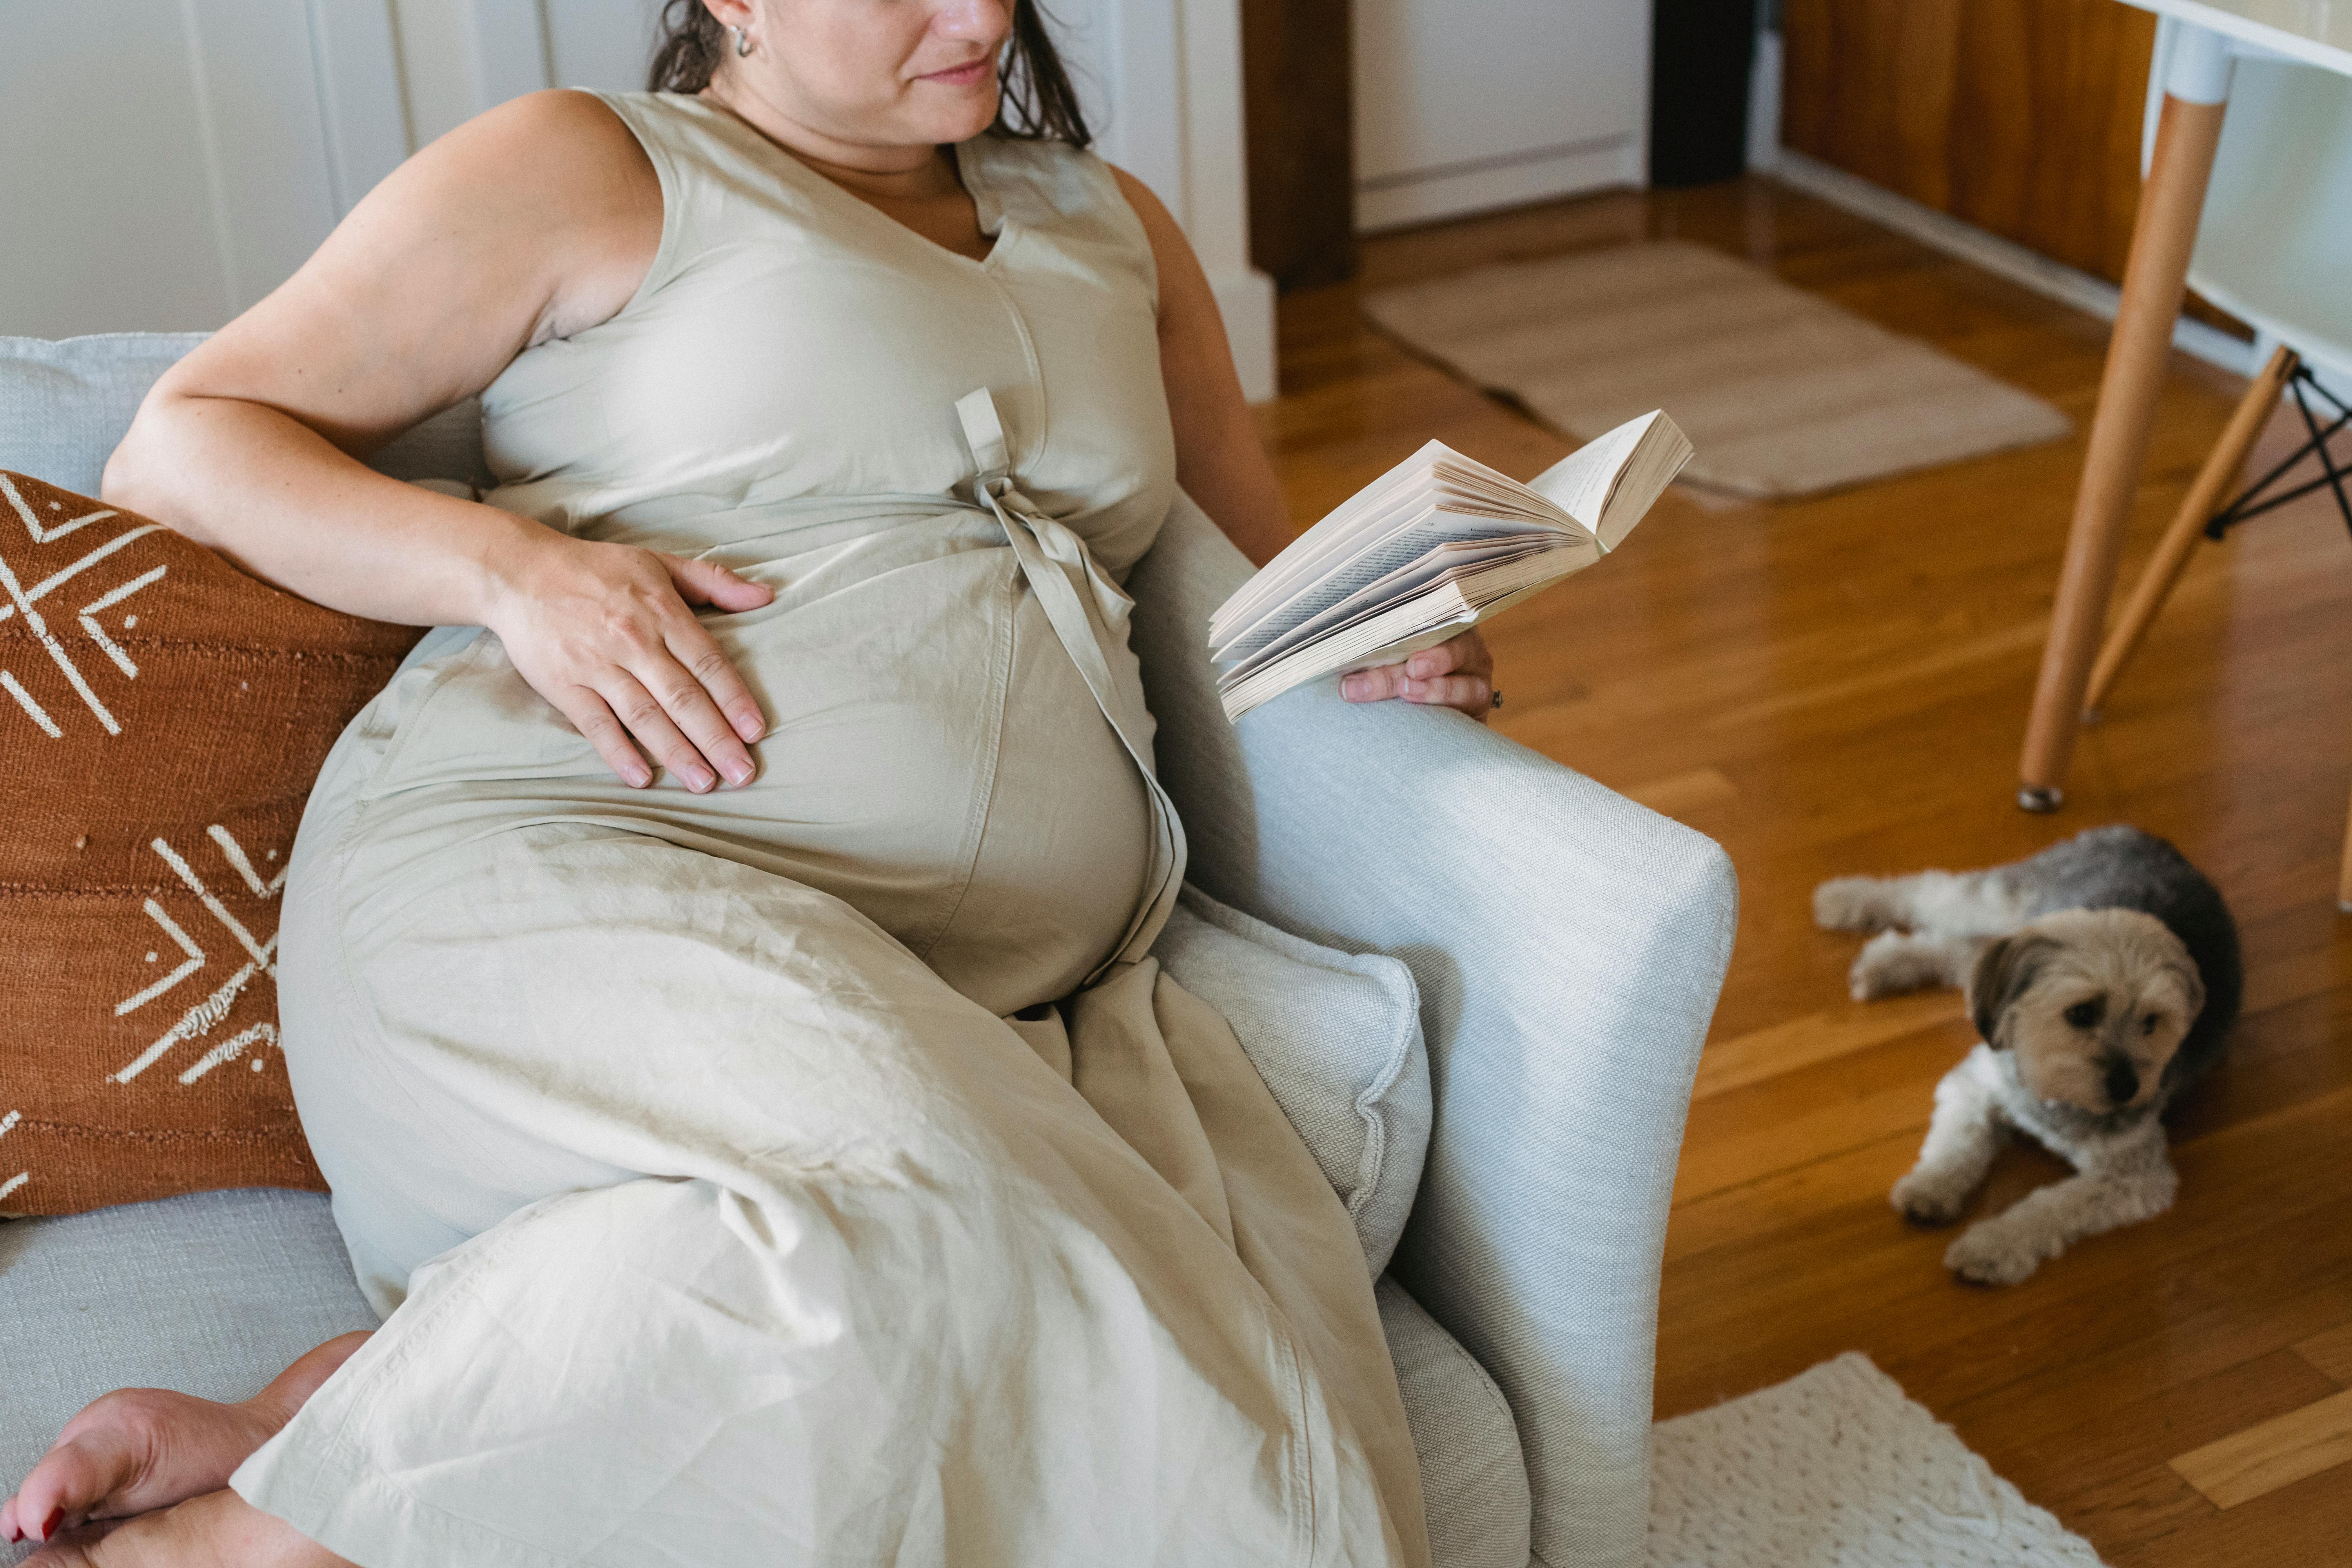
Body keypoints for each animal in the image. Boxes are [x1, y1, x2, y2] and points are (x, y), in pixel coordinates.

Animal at [1816, 827, 2239, 1279]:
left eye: (2152, 1022)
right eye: (2082, 1012)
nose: (2128, 1088)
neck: (2051, 1088)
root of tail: (2148, 837)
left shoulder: (2133, 1176)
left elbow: (2048, 1209)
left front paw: (1989, 1245)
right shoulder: (1976, 1083)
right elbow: (1957, 1144)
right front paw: (1930, 1184)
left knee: (1964, 952)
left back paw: (1885, 965)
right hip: (2006, 899)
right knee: (1928, 891)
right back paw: (1842, 899)